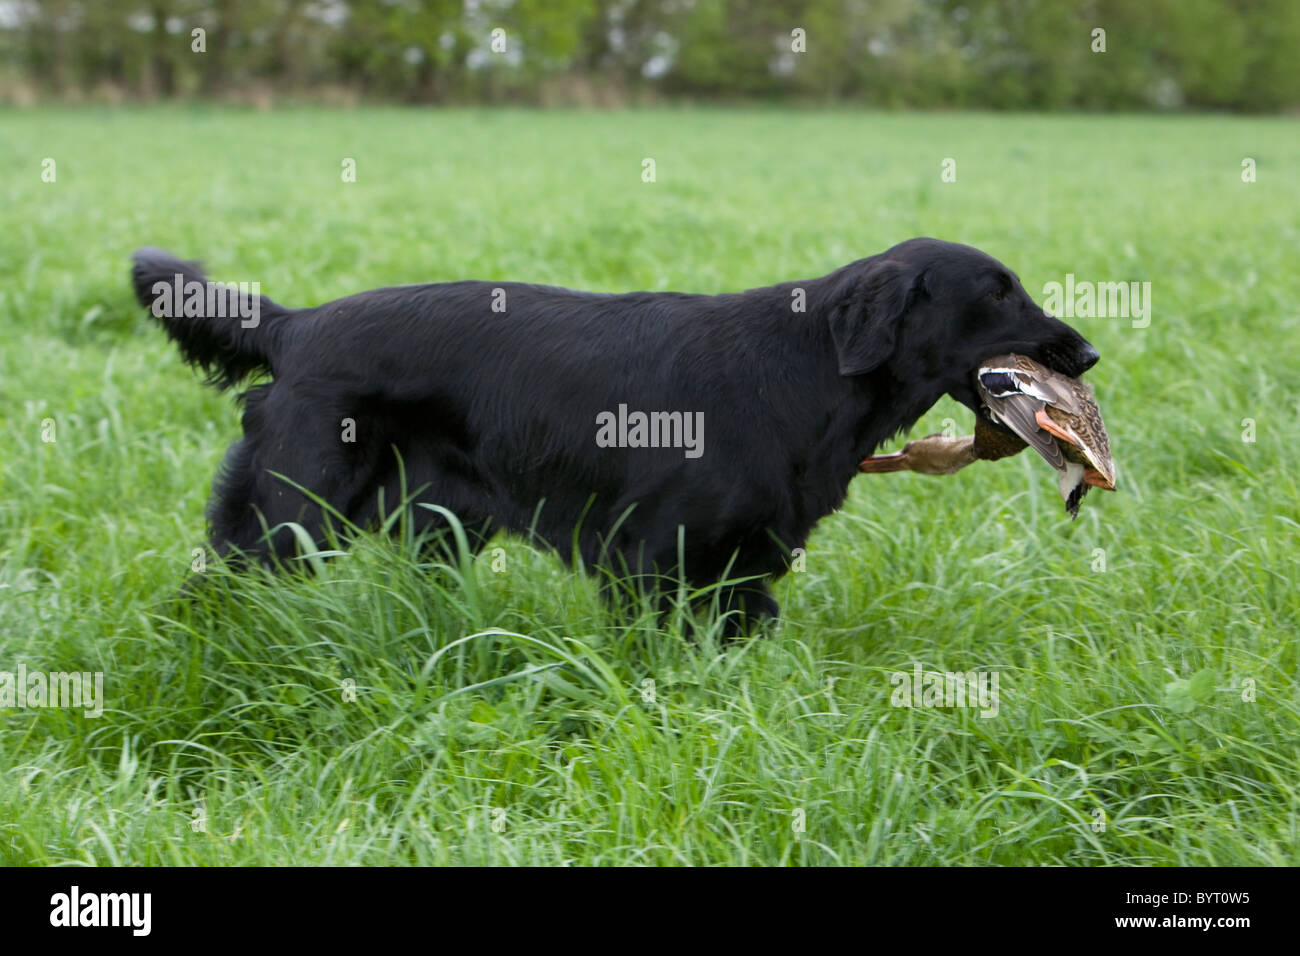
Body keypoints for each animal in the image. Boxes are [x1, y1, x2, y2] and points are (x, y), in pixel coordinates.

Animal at [131, 236, 1097, 632]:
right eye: (998, 294)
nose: (1087, 352)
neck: (808, 371)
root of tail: (295, 325)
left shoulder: (742, 566)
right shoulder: (648, 556)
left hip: (436, 523)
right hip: (291, 511)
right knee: (215, 587)